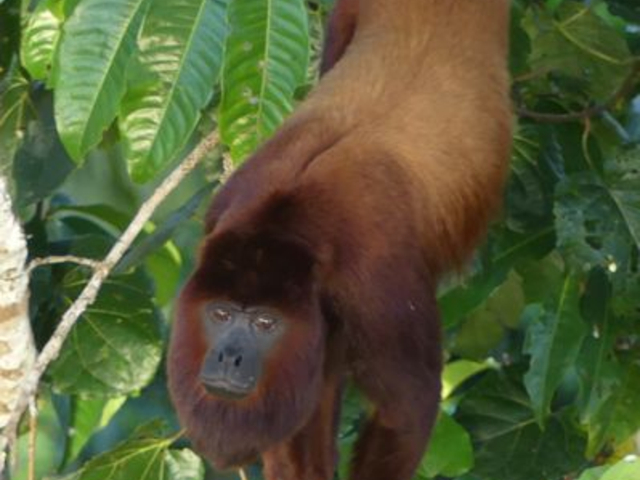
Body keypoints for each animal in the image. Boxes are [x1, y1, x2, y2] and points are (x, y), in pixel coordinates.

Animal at [168, 1, 512, 479]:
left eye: (265, 324)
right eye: (220, 314)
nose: (227, 356)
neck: (287, 227)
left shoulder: (375, 283)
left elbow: (408, 405)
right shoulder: (223, 219)